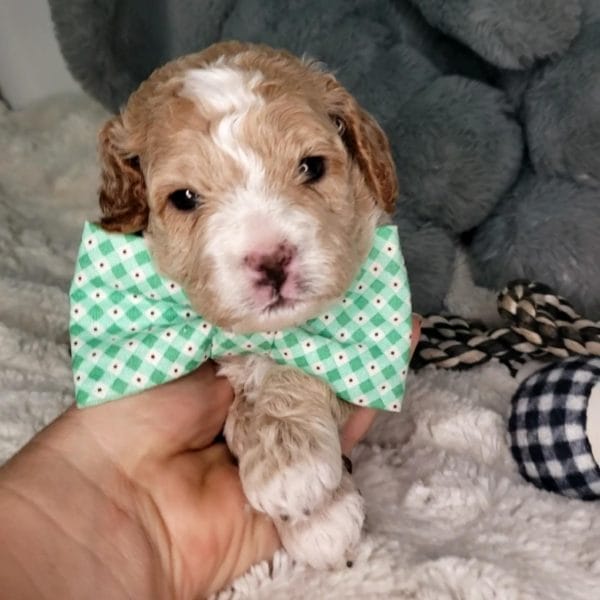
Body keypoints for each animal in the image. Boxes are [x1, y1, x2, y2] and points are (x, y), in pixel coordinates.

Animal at [97, 41, 398, 568]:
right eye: (184, 198)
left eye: (311, 166)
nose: (272, 261)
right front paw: (315, 507)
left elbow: (301, 362)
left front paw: (298, 475)